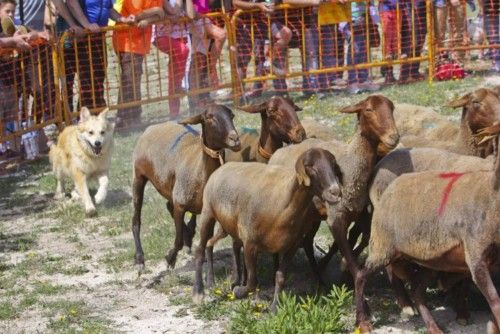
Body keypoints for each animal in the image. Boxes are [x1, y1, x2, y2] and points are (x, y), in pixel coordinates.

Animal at [132, 104, 241, 268]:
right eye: (209, 117)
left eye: (232, 115)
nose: (235, 139)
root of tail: (152, 127)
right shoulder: (180, 206)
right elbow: (177, 241)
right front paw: (170, 258)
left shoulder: (207, 212)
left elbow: (206, 242)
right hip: (139, 176)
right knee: (136, 220)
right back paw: (140, 259)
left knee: (169, 206)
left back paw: (188, 236)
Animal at [192, 149, 344, 310]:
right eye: (310, 166)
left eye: (334, 165)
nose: (336, 192)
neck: (282, 204)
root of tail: (223, 167)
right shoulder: (250, 243)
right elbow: (252, 281)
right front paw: (239, 291)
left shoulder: (291, 246)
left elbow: (280, 276)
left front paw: (274, 307)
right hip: (208, 212)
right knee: (200, 249)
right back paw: (199, 292)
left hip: (230, 227)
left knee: (217, 244)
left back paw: (214, 281)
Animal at [356, 125, 500, 334]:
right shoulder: (476, 256)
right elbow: (496, 302)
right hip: (383, 246)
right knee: (361, 275)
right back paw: (363, 322)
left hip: (434, 260)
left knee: (417, 290)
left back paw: (433, 327)